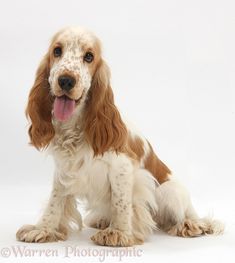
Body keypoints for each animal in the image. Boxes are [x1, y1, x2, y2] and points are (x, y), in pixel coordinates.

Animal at [16, 26, 222, 248]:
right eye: (57, 51)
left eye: (89, 56)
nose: (66, 80)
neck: (76, 127)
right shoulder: (64, 169)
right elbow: (55, 201)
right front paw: (43, 229)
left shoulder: (122, 169)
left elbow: (121, 203)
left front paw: (119, 232)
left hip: (169, 191)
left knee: (185, 216)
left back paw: (189, 226)